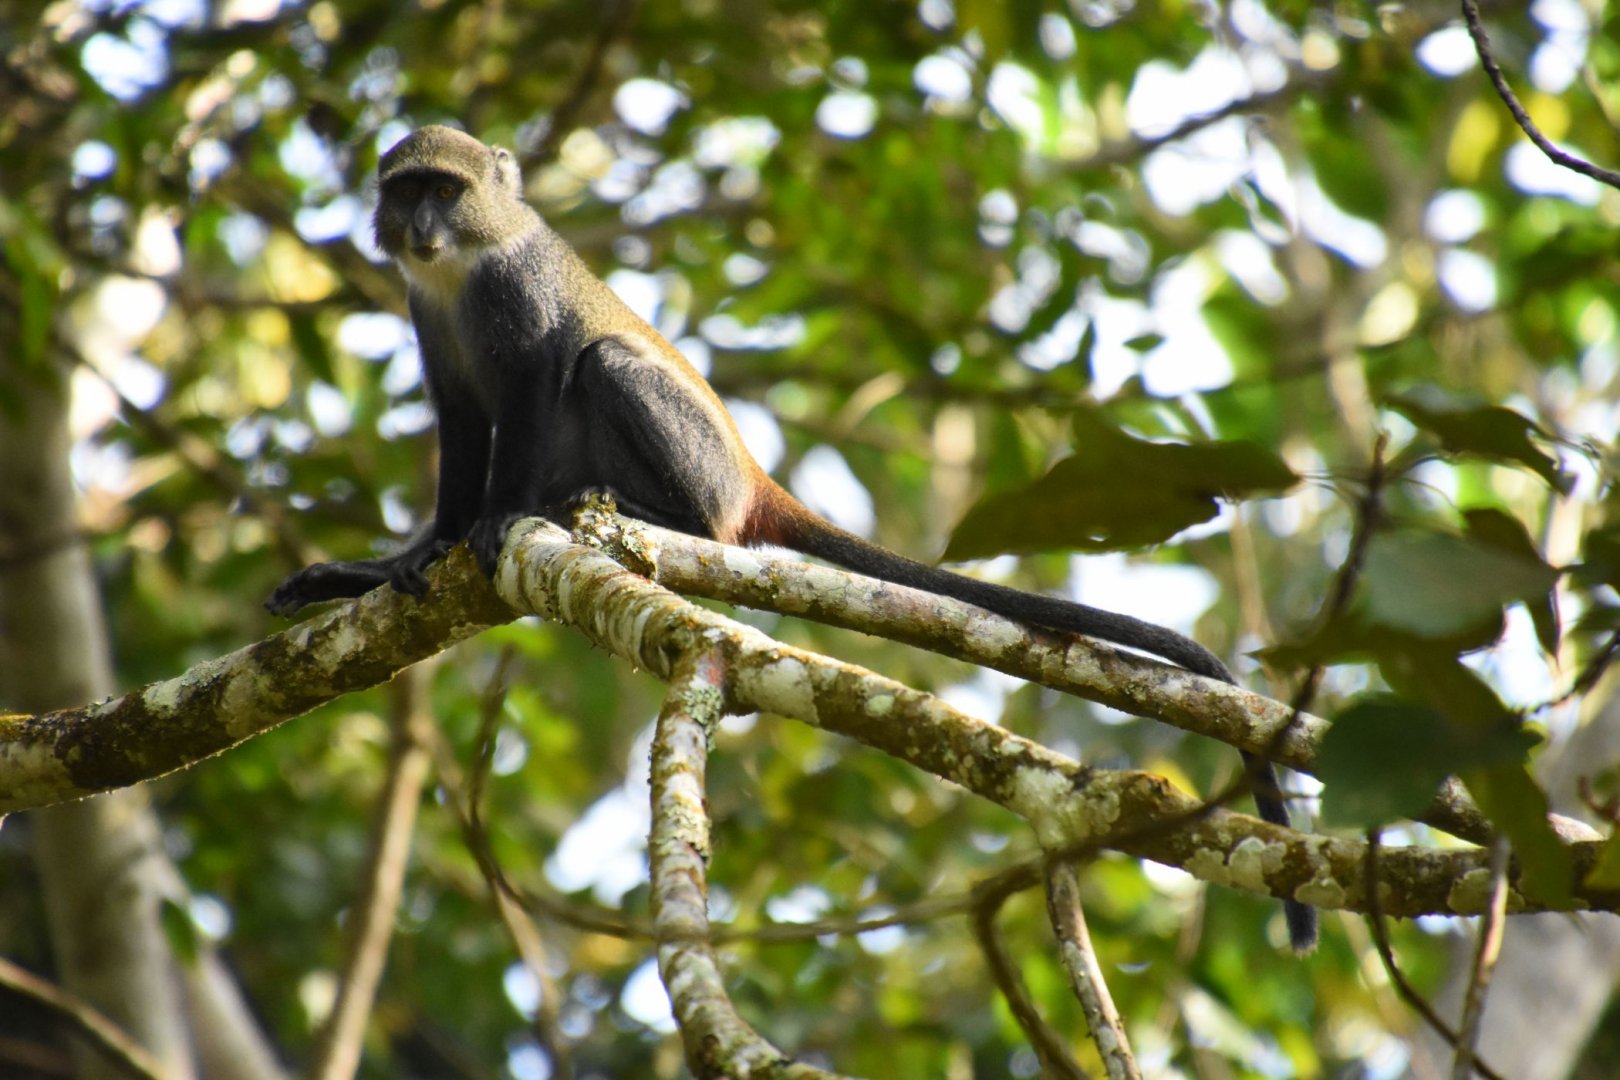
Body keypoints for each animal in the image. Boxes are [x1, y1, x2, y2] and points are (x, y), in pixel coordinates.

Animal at [265, 126, 1317, 952]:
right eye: (408, 192)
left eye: (448, 191)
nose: (424, 230)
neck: (459, 271)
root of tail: (751, 484)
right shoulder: (431, 323)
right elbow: (456, 426)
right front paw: (399, 560)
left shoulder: (516, 299)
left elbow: (527, 389)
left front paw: (493, 523)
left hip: (697, 465)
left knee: (609, 365)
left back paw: (652, 517)